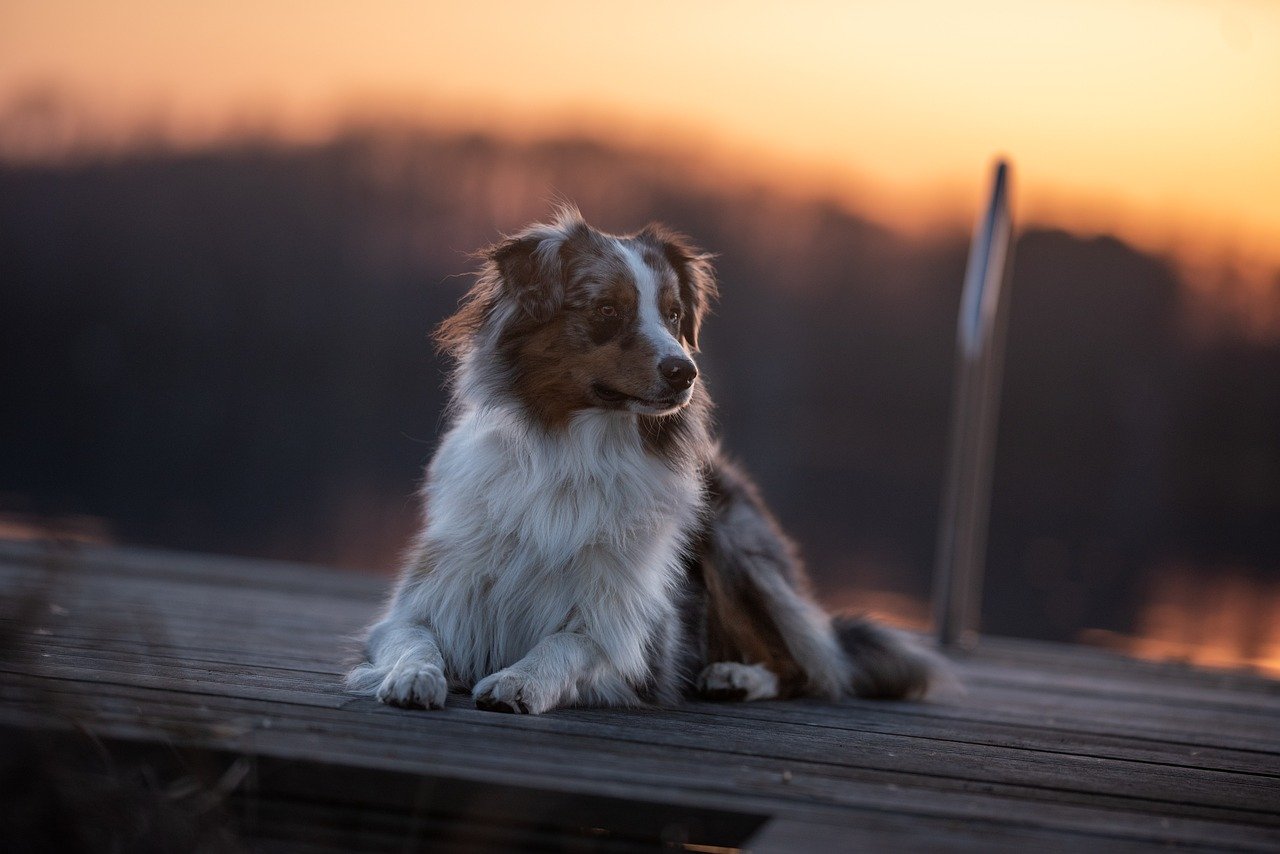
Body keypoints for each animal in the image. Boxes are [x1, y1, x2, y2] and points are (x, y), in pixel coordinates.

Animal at [345, 208, 936, 717]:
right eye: (608, 309)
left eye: (674, 316)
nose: (684, 371)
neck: (576, 452)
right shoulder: (423, 602)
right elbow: (415, 641)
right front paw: (413, 676)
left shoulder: (632, 638)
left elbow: (566, 642)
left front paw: (518, 680)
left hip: (735, 550)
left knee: (807, 668)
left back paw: (735, 677)